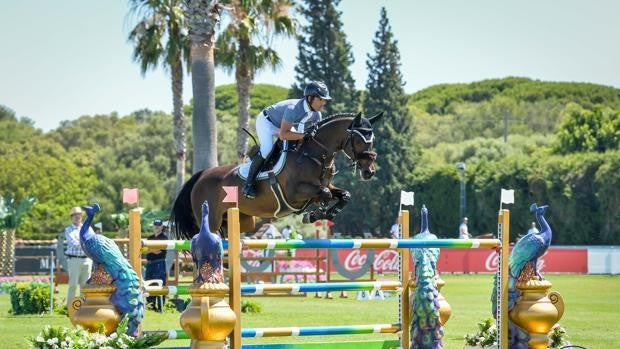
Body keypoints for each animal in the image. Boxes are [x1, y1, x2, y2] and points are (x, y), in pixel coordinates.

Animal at [171, 111, 382, 239]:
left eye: (372, 140)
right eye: (359, 140)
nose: (369, 171)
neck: (314, 154)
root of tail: (201, 176)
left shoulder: (325, 186)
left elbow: (343, 195)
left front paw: (319, 214)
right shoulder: (296, 192)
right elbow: (325, 194)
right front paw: (315, 214)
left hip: (242, 220)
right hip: (211, 220)